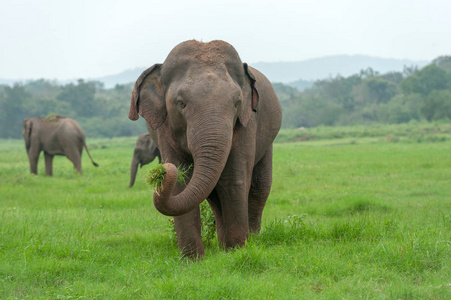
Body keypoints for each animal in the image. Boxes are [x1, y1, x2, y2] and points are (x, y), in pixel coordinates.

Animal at [128, 39, 282, 258]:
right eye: (181, 103)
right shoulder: (165, 129)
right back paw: (222, 246)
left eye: (237, 103)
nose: (163, 170)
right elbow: (181, 185)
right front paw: (192, 259)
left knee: (259, 188)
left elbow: (234, 179)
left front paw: (237, 251)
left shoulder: (247, 123)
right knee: (213, 194)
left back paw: (250, 240)